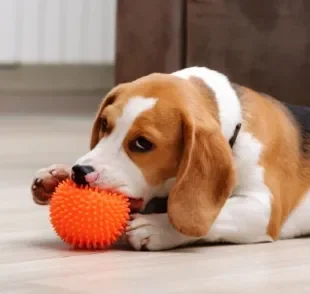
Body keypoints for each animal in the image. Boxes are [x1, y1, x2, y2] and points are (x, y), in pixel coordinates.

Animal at [30, 66, 310, 250]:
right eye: (105, 124)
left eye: (142, 143)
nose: (80, 172)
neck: (235, 125)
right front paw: (56, 176)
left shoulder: (264, 208)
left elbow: (215, 215)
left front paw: (156, 227)